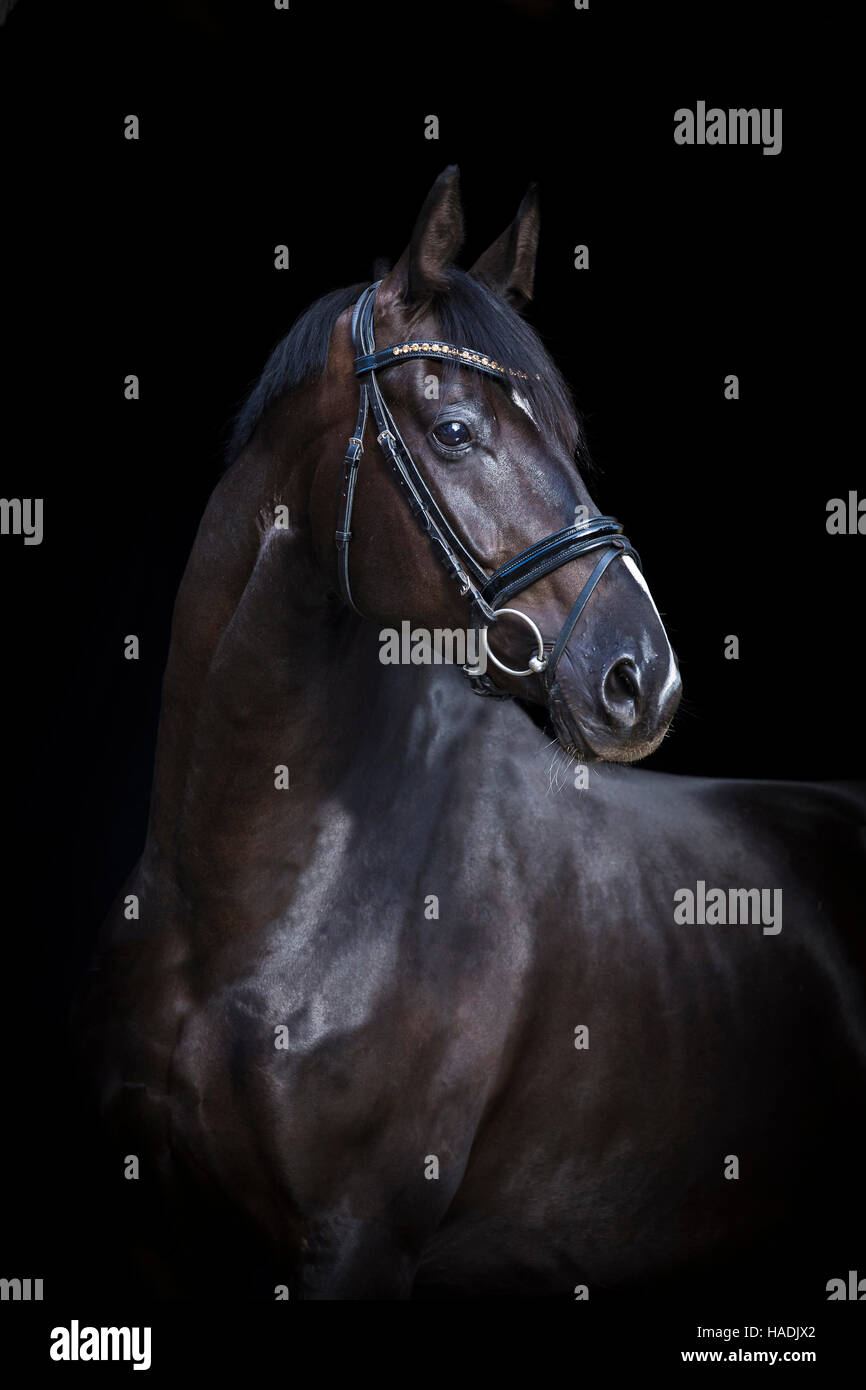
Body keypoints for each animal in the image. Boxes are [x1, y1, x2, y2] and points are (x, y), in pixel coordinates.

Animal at [76, 173, 866, 1301]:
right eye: (453, 430)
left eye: (570, 439)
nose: (644, 675)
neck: (237, 908)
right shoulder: (149, 1231)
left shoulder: (356, 1242)